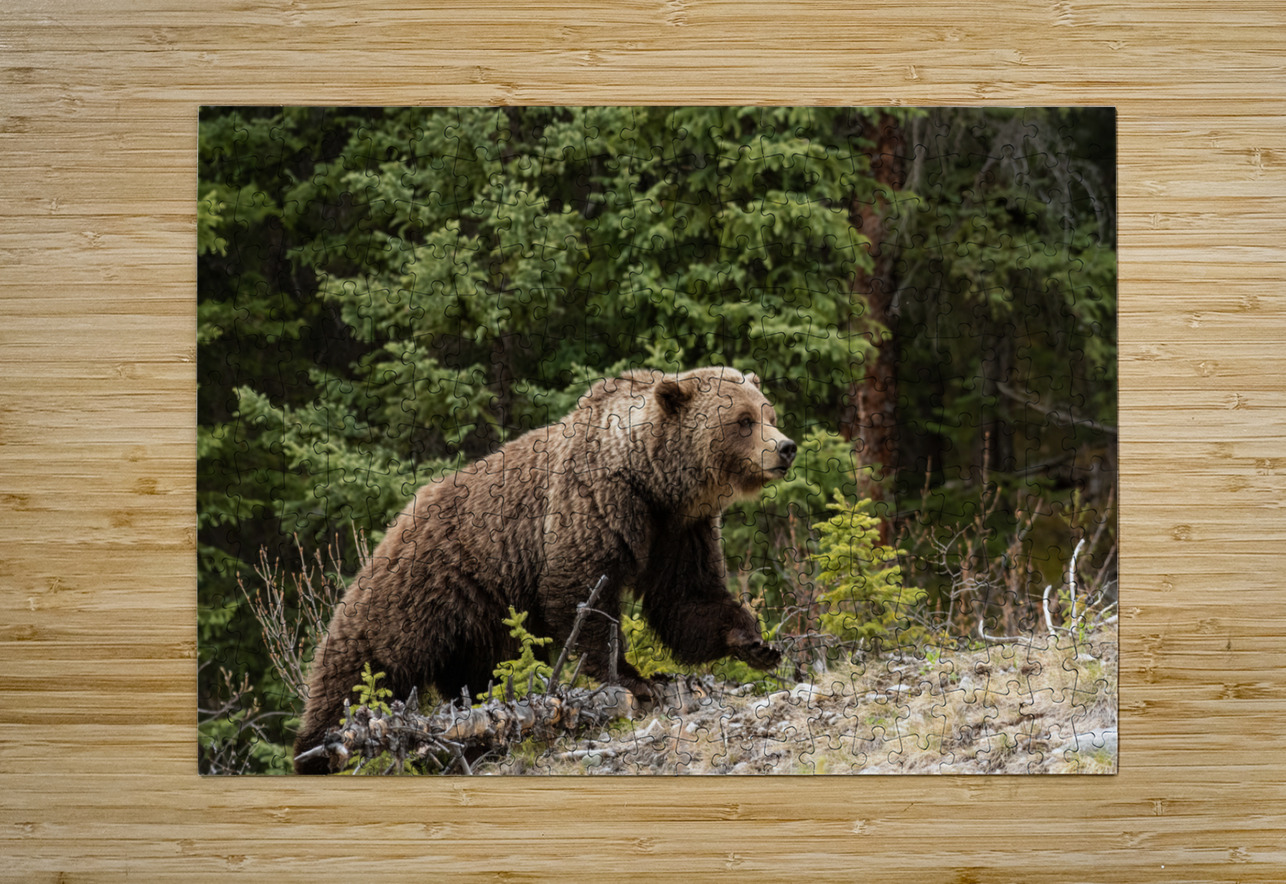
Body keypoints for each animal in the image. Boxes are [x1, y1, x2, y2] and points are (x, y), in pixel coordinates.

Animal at [293, 366, 796, 774]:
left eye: (769, 414)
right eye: (743, 421)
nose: (786, 448)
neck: (652, 479)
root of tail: (397, 520)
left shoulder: (679, 529)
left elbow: (686, 597)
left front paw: (755, 641)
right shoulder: (595, 504)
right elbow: (582, 596)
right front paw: (632, 679)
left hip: (478, 617)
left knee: (473, 677)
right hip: (418, 586)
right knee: (363, 664)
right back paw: (318, 750)